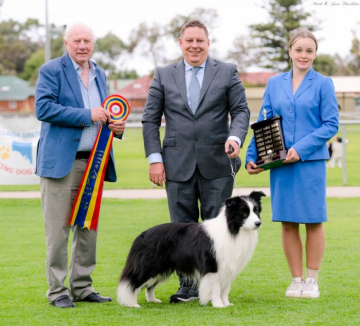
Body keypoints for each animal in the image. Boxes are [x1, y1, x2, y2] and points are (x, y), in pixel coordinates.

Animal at [116, 191, 266, 308]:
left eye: (256, 211)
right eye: (244, 213)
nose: (258, 223)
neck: (232, 230)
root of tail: (142, 235)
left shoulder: (229, 266)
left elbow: (225, 290)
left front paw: (227, 304)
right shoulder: (213, 266)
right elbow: (216, 288)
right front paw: (218, 305)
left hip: (159, 268)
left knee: (149, 286)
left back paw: (153, 300)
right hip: (149, 265)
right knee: (132, 282)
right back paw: (132, 304)